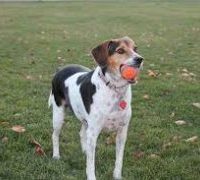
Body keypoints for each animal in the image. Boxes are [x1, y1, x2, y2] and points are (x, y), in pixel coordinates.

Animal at [49, 35, 143, 179]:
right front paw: (91, 176)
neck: (114, 89)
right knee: (55, 135)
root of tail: (60, 70)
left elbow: (119, 159)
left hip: (85, 120)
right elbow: (91, 164)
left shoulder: (122, 132)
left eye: (135, 49)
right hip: (58, 115)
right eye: (120, 51)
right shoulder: (94, 133)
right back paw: (56, 156)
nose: (140, 59)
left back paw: (84, 150)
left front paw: (117, 176)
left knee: (81, 133)